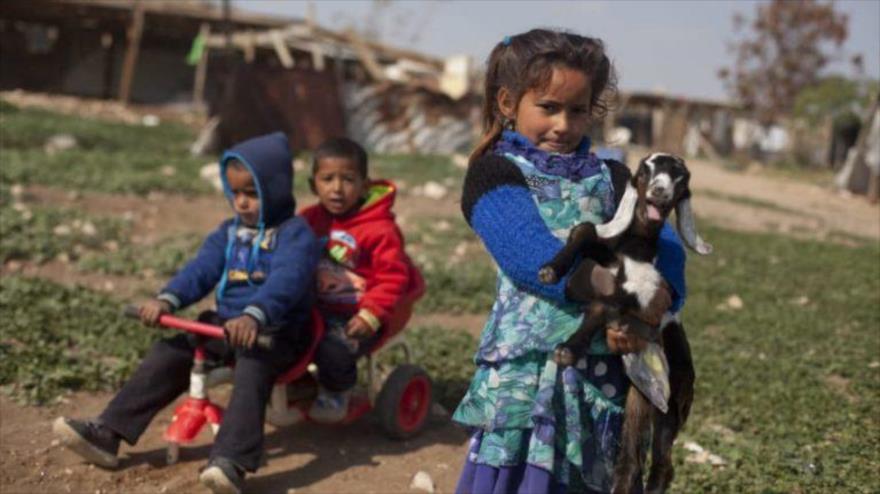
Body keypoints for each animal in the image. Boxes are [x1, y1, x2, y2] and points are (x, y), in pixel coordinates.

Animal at [536, 153, 716, 494]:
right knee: (630, 462)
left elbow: (604, 305)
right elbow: (585, 231)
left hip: (672, 405)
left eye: (681, 178)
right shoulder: (598, 266)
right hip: (639, 398)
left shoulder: (643, 294)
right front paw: (551, 270)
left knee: (662, 466)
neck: (635, 247)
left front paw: (568, 349)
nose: (660, 192)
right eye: (645, 170)